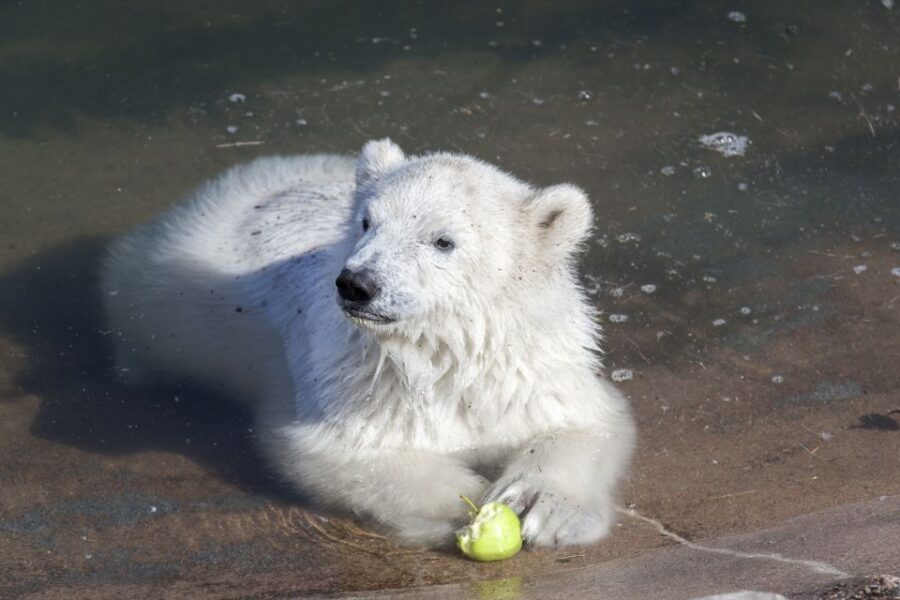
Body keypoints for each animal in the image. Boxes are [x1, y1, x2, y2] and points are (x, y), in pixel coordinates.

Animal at [101, 139, 636, 547]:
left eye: (443, 241)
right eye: (367, 222)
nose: (357, 284)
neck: (442, 355)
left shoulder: (528, 373)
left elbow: (586, 422)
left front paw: (542, 504)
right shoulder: (353, 386)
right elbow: (349, 452)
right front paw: (459, 501)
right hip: (157, 293)